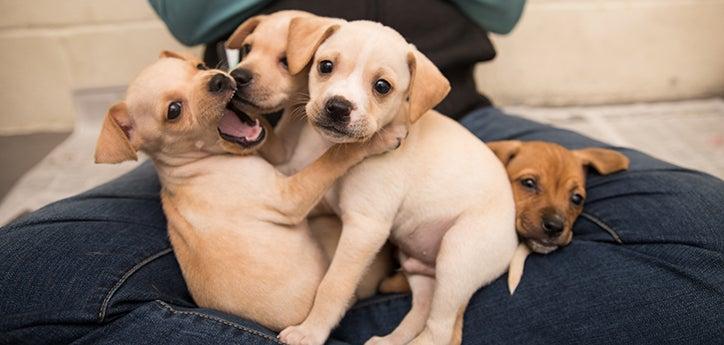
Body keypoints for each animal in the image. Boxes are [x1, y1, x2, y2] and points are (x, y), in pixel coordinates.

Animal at [94, 51, 408, 330]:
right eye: (173, 111)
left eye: (200, 66)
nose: (220, 80)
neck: (199, 164)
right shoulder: (290, 197)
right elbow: (332, 158)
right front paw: (375, 140)